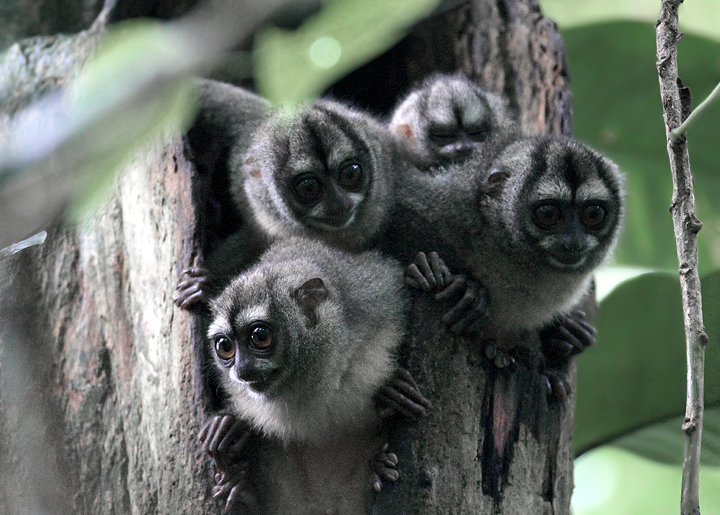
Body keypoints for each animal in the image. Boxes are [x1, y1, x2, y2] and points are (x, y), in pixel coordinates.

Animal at [197, 237, 430, 512]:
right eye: (225, 346)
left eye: (260, 336)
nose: (242, 371)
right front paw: (225, 429)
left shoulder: (380, 296)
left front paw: (395, 390)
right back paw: (239, 487)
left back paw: (379, 469)